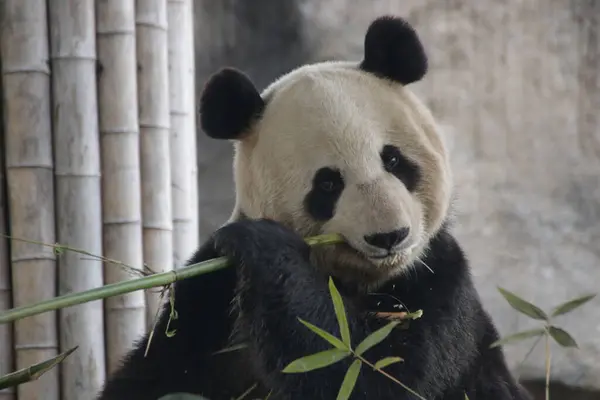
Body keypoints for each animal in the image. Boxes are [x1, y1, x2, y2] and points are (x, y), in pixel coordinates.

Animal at [99, 14, 536, 400]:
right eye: (328, 184)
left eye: (394, 160)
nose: (390, 236)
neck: (363, 281)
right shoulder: (207, 298)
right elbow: (156, 375)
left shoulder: (437, 283)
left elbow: (369, 373)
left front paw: (262, 243)